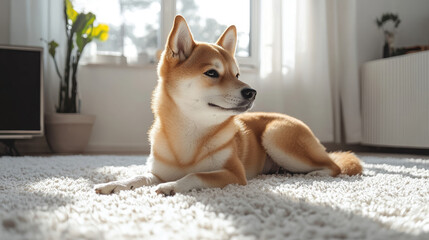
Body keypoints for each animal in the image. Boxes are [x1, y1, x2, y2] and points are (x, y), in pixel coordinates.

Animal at [94, 15, 362, 196]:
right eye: (212, 73)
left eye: (237, 74)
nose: (252, 91)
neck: (190, 134)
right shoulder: (156, 171)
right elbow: (137, 175)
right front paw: (112, 184)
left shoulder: (233, 174)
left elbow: (195, 174)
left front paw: (171, 185)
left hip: (276, 135)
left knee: (334, 166)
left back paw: (315, 174)